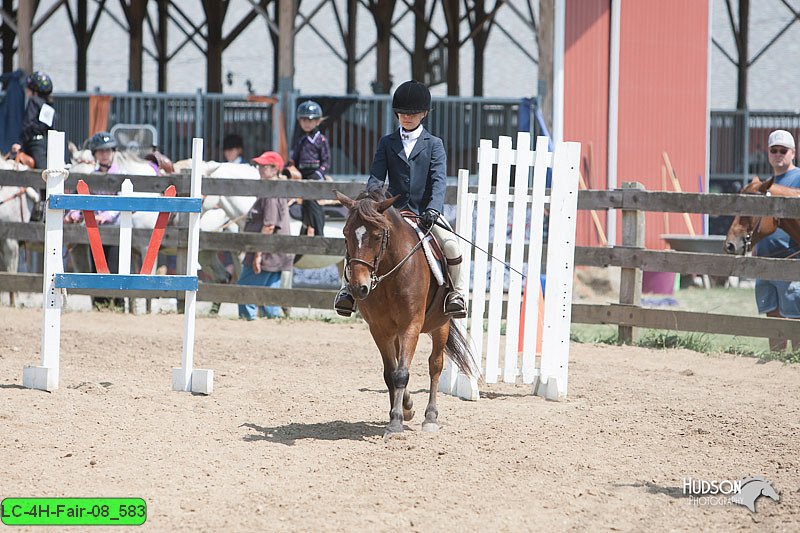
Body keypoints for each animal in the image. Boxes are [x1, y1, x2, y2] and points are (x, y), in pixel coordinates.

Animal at [334, 189, 478, 438]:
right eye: (345, 234)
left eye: (377, 236)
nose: (358, 288)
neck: (388, 275)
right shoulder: (379, 329)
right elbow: (391, 373)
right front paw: (404, 409)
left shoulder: (412, 325)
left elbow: (401, 373)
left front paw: (396, 424)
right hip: (396, 332)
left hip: (441, 325)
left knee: (435, 365)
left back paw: (430, 418)